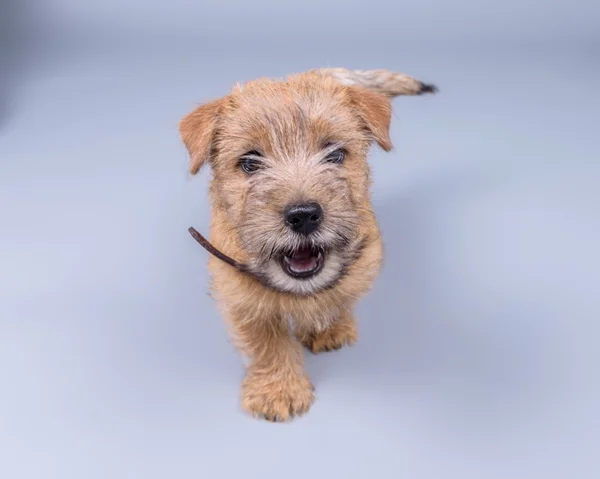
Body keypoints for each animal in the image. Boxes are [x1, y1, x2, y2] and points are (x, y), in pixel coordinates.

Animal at [178, 68, 436, 424]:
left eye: (335, 154)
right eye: (249, 163)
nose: (303, 216)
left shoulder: (364, 262)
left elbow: (339, 296)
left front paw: (328, 328)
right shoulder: (237, 291)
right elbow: (265, 340)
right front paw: (278, 390)